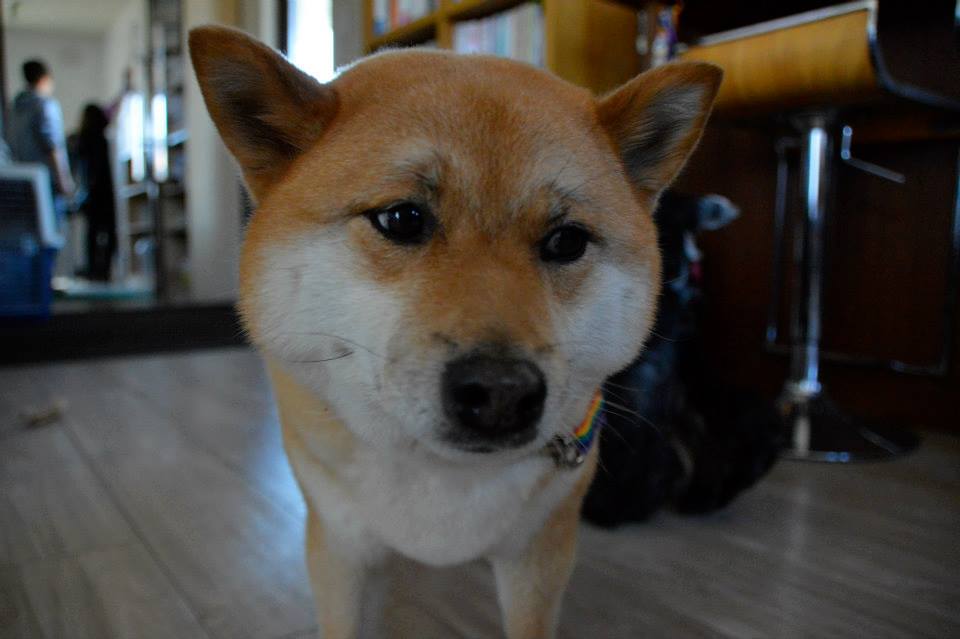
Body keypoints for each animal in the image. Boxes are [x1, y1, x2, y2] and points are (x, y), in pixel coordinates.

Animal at [189, 26, 720, 639]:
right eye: (402, 219)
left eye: (567, 241)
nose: (501, 393)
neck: (439, 474)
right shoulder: (340, 549)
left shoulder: (540, 556)